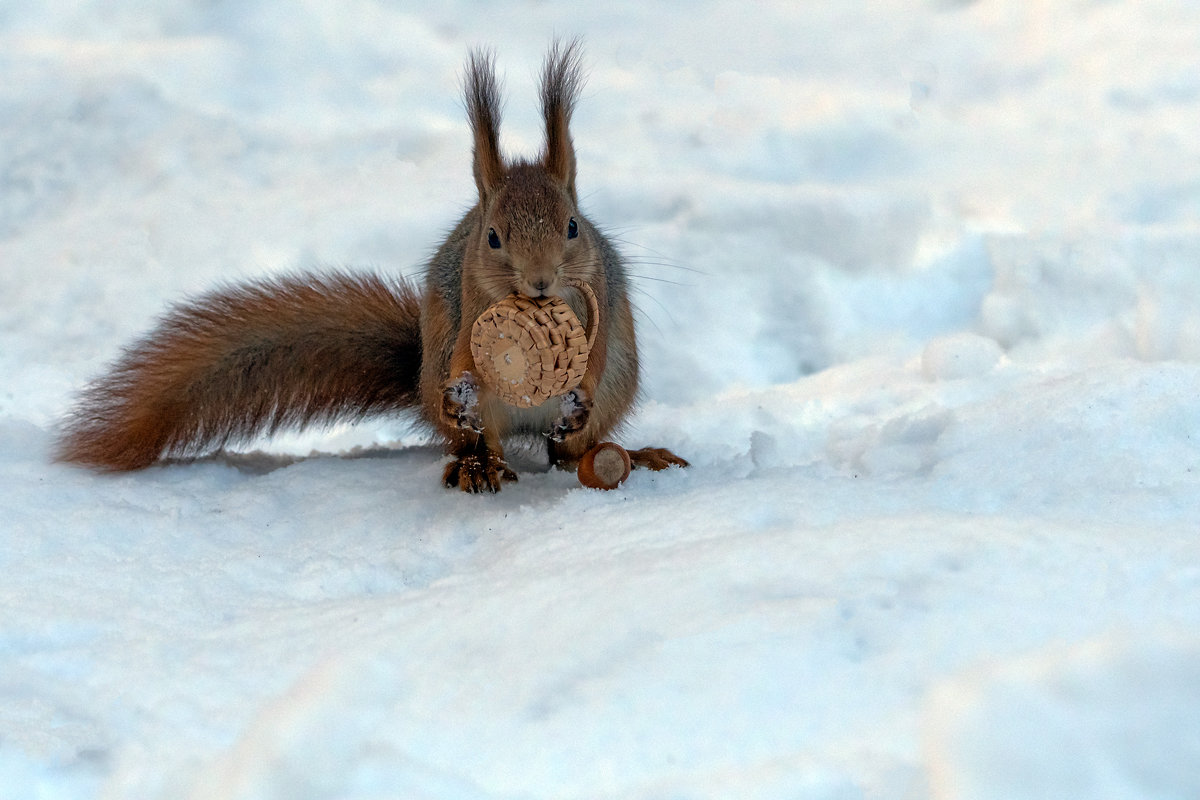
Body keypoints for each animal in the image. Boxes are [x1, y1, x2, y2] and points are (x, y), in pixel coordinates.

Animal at [56, 43, 691, 496]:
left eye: (574, 227)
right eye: (491, 237)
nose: (538, 282)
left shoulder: (601, 299)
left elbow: (595, 353)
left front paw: (577, 393)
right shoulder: (467, 305)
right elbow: (467, 357)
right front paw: (465, 387)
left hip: (617, 390)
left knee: (572, 453)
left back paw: (631, 455)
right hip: (450, 382)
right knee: (478, 440)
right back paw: (476, 465)